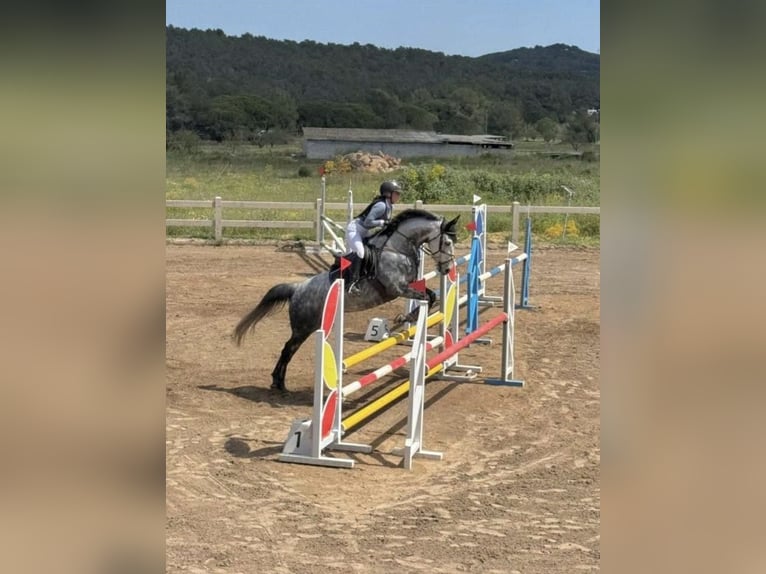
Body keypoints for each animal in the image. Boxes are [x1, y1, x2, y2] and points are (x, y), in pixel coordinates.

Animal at [233, 209, 460, 391]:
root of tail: (297, 289)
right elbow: (425, 297)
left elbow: (431, 296)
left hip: (309, 326)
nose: (447, 269)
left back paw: (278, 382)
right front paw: (403, 317)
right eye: (447, 242)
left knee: (289, 349)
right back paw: (278, 383)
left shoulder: (409, 286)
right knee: (287, 349)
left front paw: (405, 317)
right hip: (303, 327)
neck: (397, 249)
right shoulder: (397, 288)